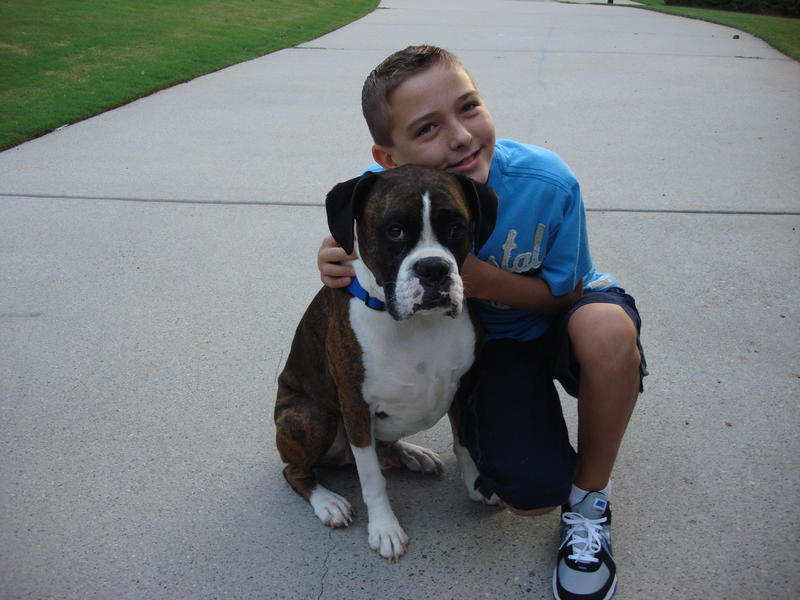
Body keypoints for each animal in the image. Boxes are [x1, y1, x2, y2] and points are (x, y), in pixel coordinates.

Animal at [274, 164, 498, 561]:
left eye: (456, 227)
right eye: (395, 231)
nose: (433, 268)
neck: (419, 325)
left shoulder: (463, 388)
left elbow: (464, 443)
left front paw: (475, 483)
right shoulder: (355, 406)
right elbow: (371, 480)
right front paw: (384, 528)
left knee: (384, 447)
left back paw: (410, 454)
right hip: (310, 415)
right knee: (296, 471)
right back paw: (328, 501)